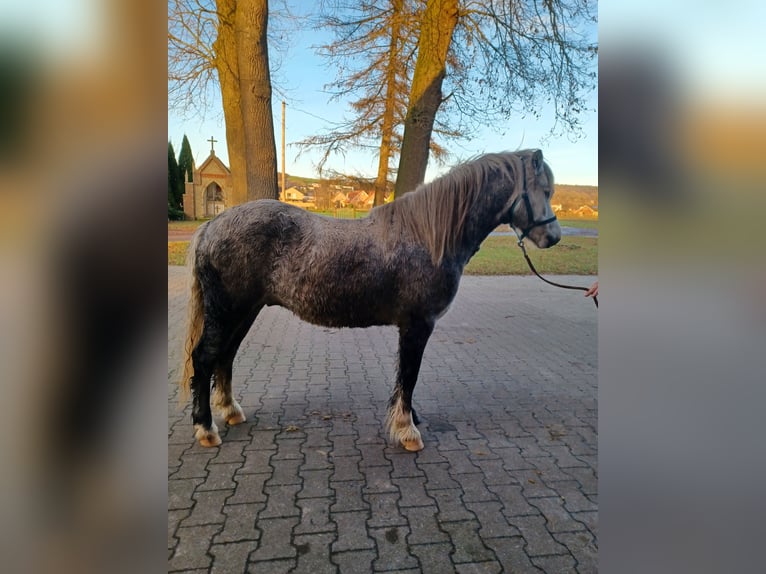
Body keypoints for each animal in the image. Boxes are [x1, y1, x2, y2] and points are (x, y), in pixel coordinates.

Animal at [181, 150, 564, 454]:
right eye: (544, 190)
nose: (554, 236)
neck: (427, 237)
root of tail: (212, 226)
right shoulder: (418, 325)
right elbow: (409, 375)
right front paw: (407, 430)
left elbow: (405, 378)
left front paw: (410, 418)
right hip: (228, 312)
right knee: (204, 359)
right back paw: (205, 429)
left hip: (244, 312)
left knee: (225, 357)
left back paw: (231, 411)